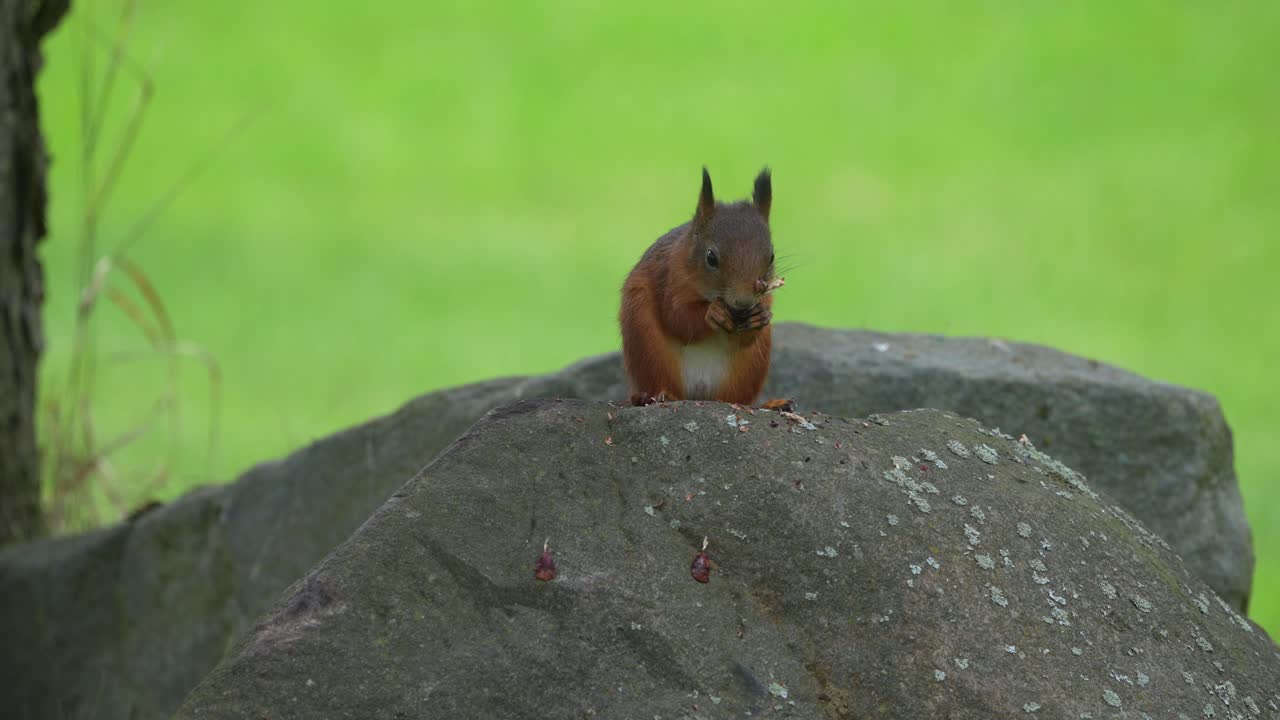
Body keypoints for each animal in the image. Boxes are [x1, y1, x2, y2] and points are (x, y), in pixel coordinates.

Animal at [619, 167, 789, 408]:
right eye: (711, 257)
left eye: (772, 256)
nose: (744, 302)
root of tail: (700, 395)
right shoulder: (670, 279)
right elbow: (677, 318)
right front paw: (712, 314)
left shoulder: (764, 298)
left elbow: (749, 336)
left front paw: (760, 317)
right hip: (645, 342)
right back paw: (655, 396)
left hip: (749, 369)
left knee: (736, 399)